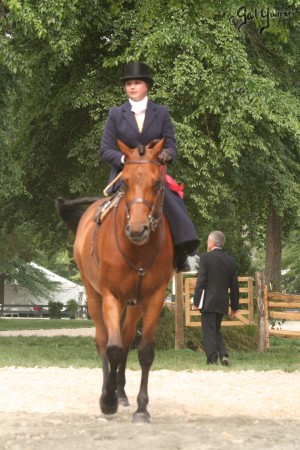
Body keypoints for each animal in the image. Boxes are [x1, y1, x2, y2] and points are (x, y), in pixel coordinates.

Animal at [56, 139, 173, 424]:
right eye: (126, 182)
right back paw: (109, 391)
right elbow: (114, 348)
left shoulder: (154, 298)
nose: (138, 229)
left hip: (134, 305)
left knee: (128, 337)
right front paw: (106, 401)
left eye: (157, 183)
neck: (137, 250)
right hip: (93, 295)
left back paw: (120, 392)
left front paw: (142, 408)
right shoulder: (111, 296)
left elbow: (144, 351)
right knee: (103, 340)